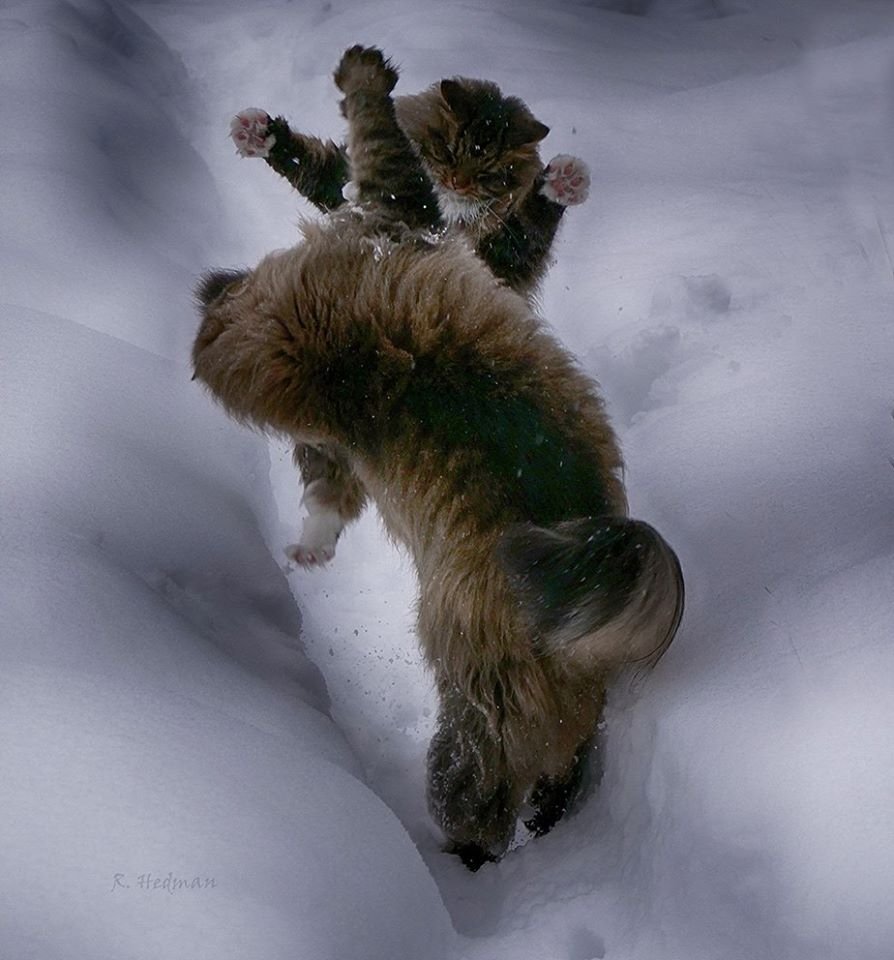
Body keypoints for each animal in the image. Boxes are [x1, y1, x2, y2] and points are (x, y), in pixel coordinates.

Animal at [194, 45, 688, 872]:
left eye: (484, 164)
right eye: (461, 153)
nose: (205, 297)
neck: (355, 363)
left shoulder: (397, 211)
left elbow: (372, 138)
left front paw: (364, 76)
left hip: (469, 737)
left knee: (476, 818)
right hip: (555, 735)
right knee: (551, 788)